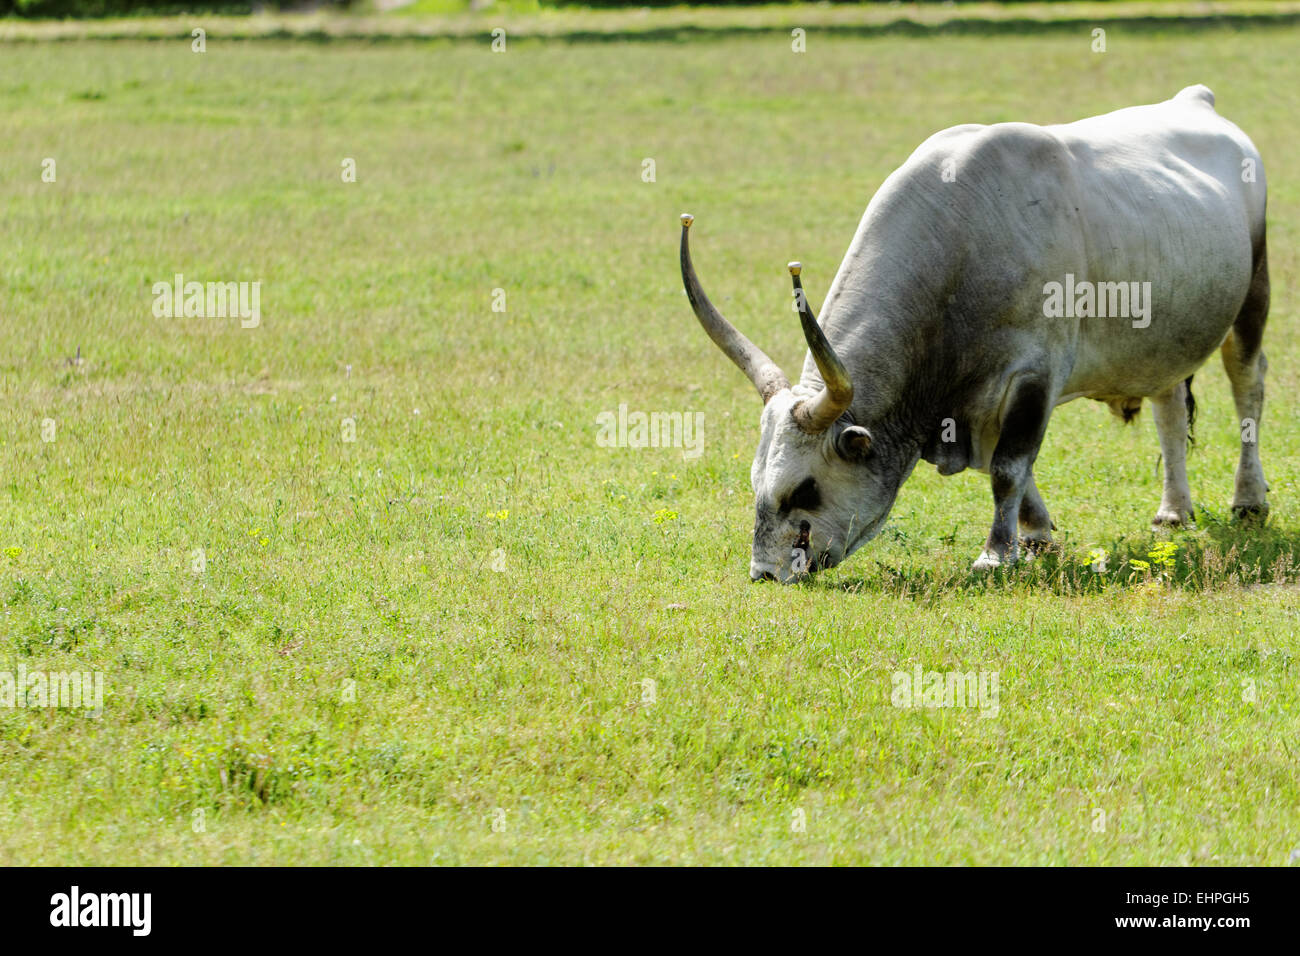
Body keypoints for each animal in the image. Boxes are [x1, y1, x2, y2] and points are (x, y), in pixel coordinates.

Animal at [681, 83, 1268, 582]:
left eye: (804, 491)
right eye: (756, 484)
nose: (764, 573)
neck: (961, 247)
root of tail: (1196, 100)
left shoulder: (1033, 375)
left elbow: (1009, 466)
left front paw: (994, 554)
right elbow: (1007, 470)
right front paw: (1035, 536)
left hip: (1252, 300)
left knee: (1248, 387)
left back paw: (1249, 500)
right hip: (1165, 337)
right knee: (1170, 407)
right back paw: (1173, 511)